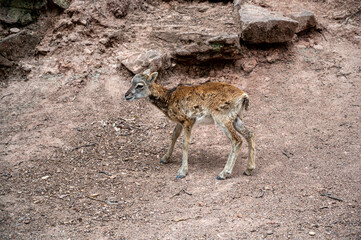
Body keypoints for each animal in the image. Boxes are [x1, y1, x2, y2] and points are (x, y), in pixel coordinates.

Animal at [125, 69, 255, 180]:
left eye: (140, 85)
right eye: (131, 82)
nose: (126, 95)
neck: (169, 98)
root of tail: (244, 96)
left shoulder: (188, 120)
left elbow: (185, 142)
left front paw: (182, 172)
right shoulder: (180, 121)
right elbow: (174, 135)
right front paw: (164, 159)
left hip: (222, 118)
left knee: (237, 140)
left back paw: (223, 173)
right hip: (236, 118)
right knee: (250, 134)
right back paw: (248, 169)